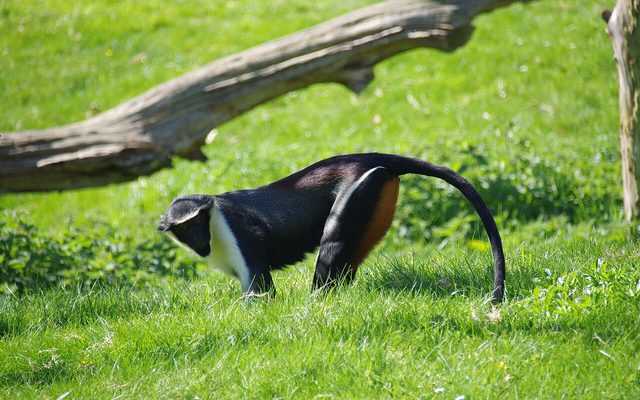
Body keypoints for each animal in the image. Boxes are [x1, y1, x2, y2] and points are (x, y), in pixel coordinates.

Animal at [157, 153, 505, 302]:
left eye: (197, 221)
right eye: (184, 228)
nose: (200, 241)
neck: (214, 219)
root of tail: (367, 157)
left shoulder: (240, 233)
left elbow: (259, 288)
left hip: (359, 190)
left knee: (333, 243)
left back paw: (317, 304)